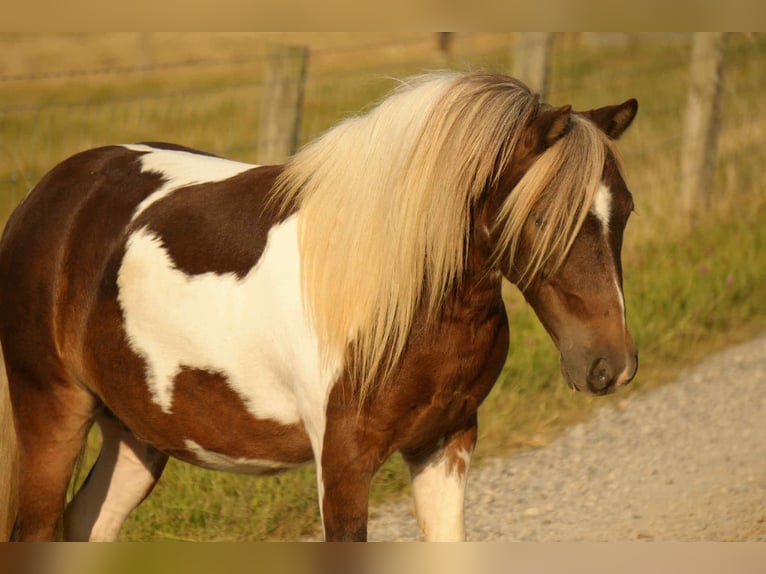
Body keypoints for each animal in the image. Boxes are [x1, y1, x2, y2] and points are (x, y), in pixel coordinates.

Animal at [0, 71, 638, 542]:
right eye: (542, 218)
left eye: (627, 210)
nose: (611, 365)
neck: (402, 295)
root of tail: (47, 195)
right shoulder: (344, 462)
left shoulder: (446, 442)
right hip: (53, 417)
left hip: (136, 434)